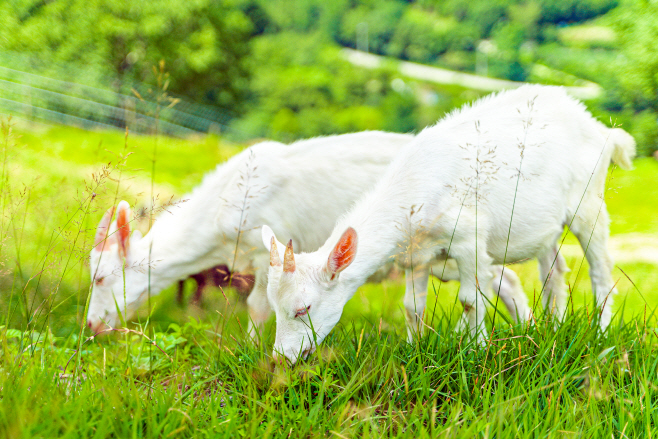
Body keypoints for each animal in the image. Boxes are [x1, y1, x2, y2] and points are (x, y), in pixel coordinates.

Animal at [86, 132, 528, 336]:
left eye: (101, 278)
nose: (91, 326)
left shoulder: (269, 248)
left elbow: (258, 307)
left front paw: (251, 347)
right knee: (503, 277)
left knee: (500, 276)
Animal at [262, 83, 636, 364]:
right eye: (274, 307)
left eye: (303, 309)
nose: (281, 358)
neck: (414, 192)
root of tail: (600, 128)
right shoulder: (415, 256)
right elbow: (412, 308)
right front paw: (414, 350)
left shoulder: (470, 240)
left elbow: (472, 299)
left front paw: (475, 349)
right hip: (547, 227)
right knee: (553, 272)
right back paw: (553, 331)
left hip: (589, 202)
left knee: (600, 270)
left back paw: (601, 334)